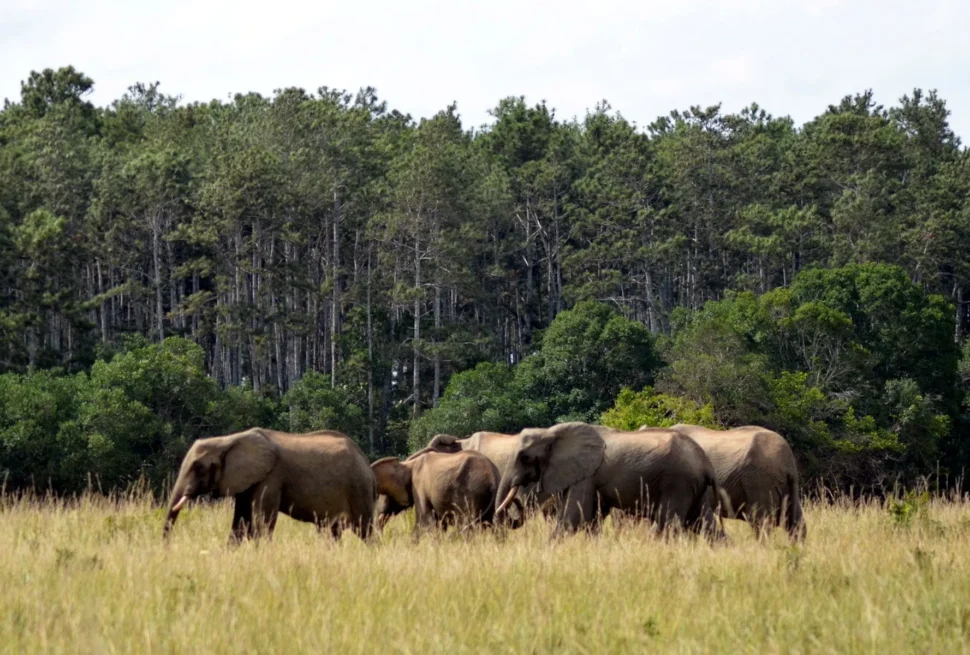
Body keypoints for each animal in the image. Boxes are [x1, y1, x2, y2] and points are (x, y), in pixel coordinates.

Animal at [163, 428, 376, 543]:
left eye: (198, 467)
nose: (166, 549)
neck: (229, 439)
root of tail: (367, 463)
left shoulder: (271, 477)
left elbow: (261, 522)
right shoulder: (247, 481)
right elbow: (240, 523)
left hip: (359, 488)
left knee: (366, 531)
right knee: (333, 532)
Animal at [371, 449, 520, 536]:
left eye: (387, 495)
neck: (408, 463)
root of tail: (494, 477)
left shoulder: (419, 486)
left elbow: (424, 519)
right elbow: (438, 523)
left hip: (473, 493)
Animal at [495, 422, 723, 540]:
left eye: (524, 457)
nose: (516, 502)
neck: (550, 432)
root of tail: (706, 463)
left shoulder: (586, 475)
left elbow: (574, 517)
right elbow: (592, 519)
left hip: (678, 483)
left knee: (668, 524)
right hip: (693, 487)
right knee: (704, 524)